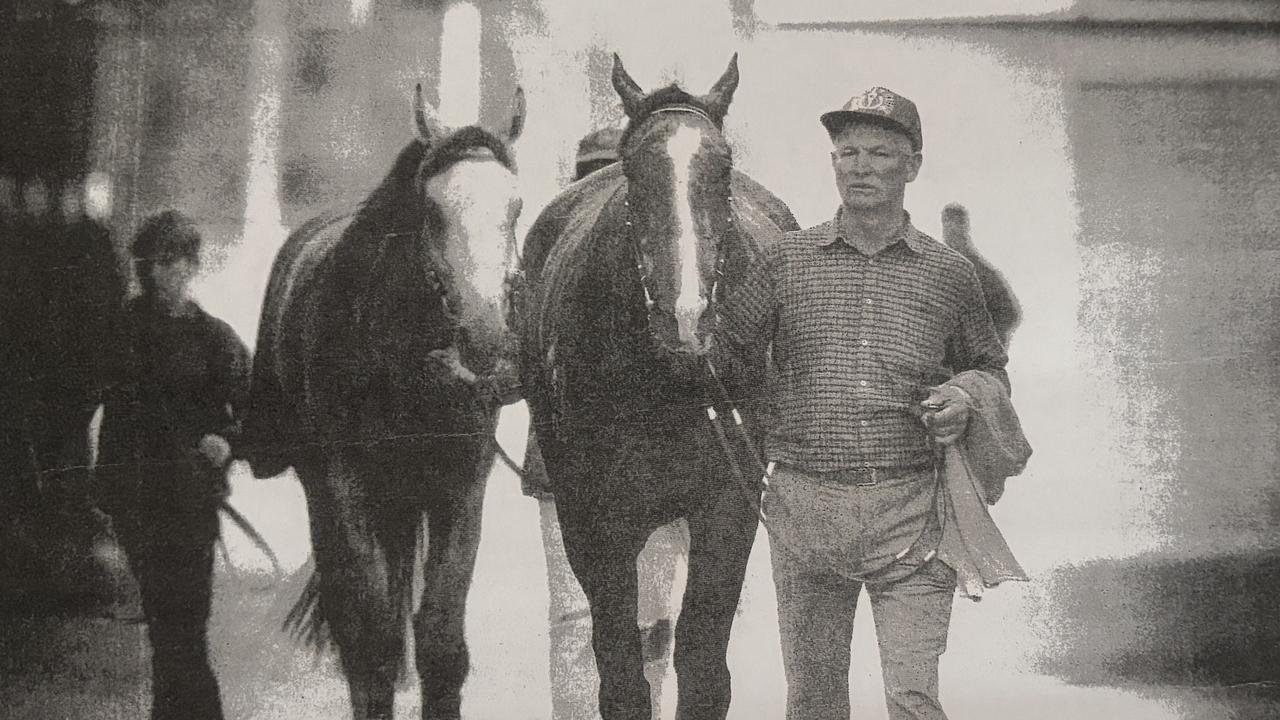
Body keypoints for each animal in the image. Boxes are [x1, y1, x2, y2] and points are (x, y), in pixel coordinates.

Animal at [244, 85, 524, 717]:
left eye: (516, 208)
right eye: (432, 210)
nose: (484, 334)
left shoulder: (459, 486)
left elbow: (441, 641)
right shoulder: (347, 485)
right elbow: (371, 644)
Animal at [519, 57, 798, 717]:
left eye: (722, 166)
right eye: (634, 170)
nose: (686, 315)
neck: (672, 381)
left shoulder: (728, 503)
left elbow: (701, 656)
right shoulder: (593, 514)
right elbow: (620, 665)